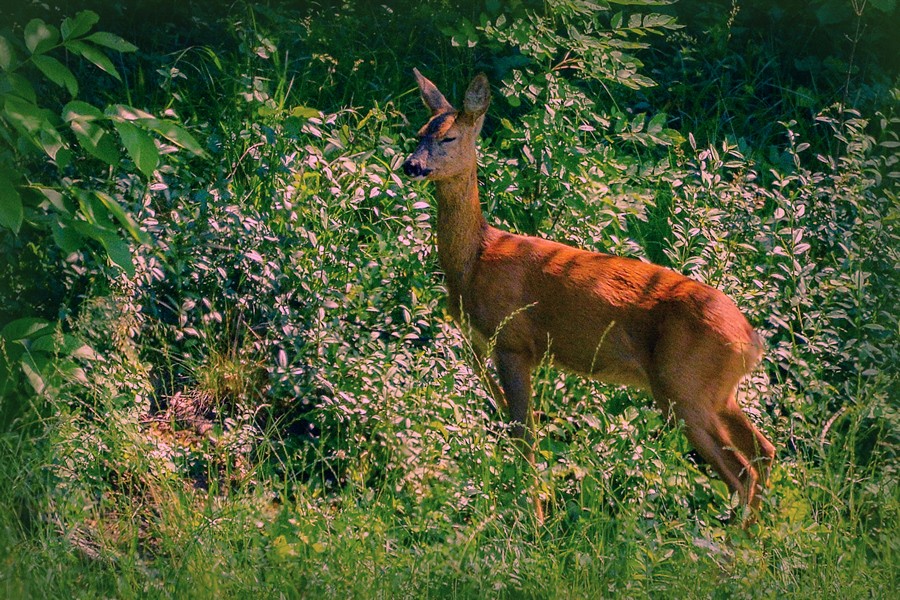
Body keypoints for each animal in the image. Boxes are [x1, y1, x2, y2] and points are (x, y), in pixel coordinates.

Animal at [400, 68, 772, 524]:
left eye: (450, 137)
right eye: (420, 133)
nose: (412, 165)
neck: (475, 260)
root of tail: (751, 339)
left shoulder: (514, 342)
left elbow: (524, 434)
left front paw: (535, 521)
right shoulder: (482, 343)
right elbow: (513, 424)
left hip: (684, 388)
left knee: (741, 471)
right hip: (717, 392)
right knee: (764, 452)